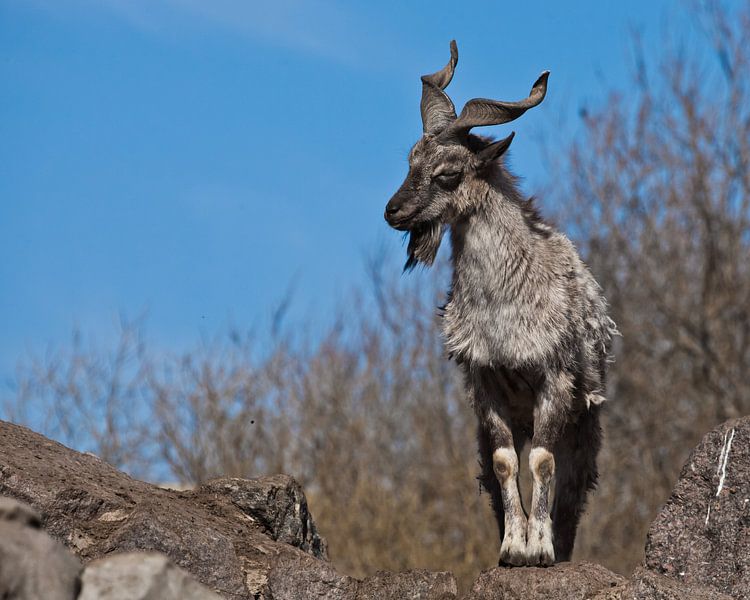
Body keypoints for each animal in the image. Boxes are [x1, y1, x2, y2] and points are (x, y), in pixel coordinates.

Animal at [384, 42, 620, 568]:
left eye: (448, 173)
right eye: (410, 160)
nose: (393, 211)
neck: (502, 306)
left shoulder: (554, 379)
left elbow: (543, 462)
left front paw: (541, 548)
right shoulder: (486, 383)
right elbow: (505, 462)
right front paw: (512, 547)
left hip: (585, 423)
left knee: (572, 484)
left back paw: (560, 545)